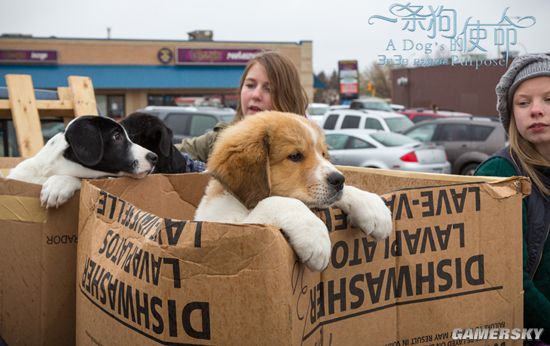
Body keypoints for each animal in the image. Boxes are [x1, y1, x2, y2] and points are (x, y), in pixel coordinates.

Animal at [194, 111, 392, 270]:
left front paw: (373, 208)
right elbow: (279, 201)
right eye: (295, 156)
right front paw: (315, 238)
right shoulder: (234, 227)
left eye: (323, 154)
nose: (339, 180)